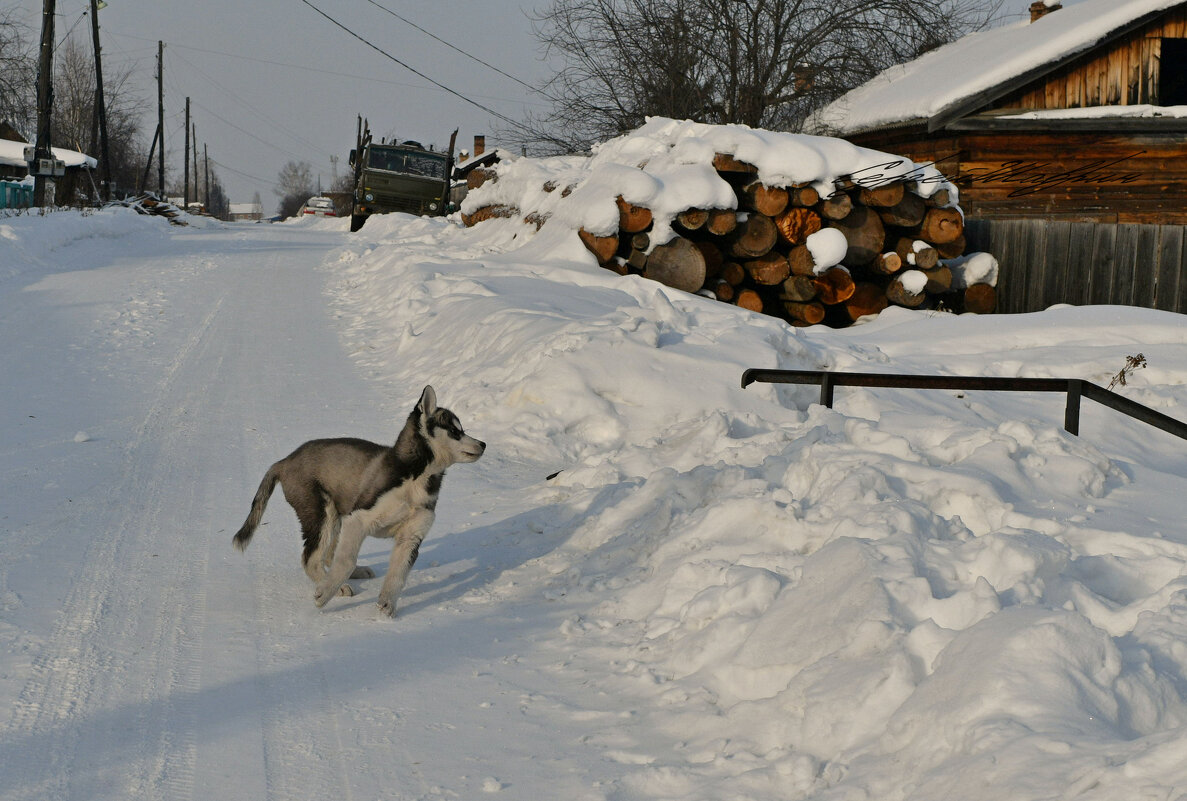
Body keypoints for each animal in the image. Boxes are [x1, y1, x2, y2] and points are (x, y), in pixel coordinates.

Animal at [231, 389, 481, 621]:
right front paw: (324, 593)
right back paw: (332, 586)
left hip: (336, 516)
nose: (484, 444)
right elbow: (346, 560)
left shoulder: (410, 537)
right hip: (322, 514)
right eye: (455, 432)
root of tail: (284, 461)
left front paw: (387, 605)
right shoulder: (359, 519)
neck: (418, 477)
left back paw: (353, 574)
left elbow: (397, 576)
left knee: (327, 555)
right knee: (311, 558)